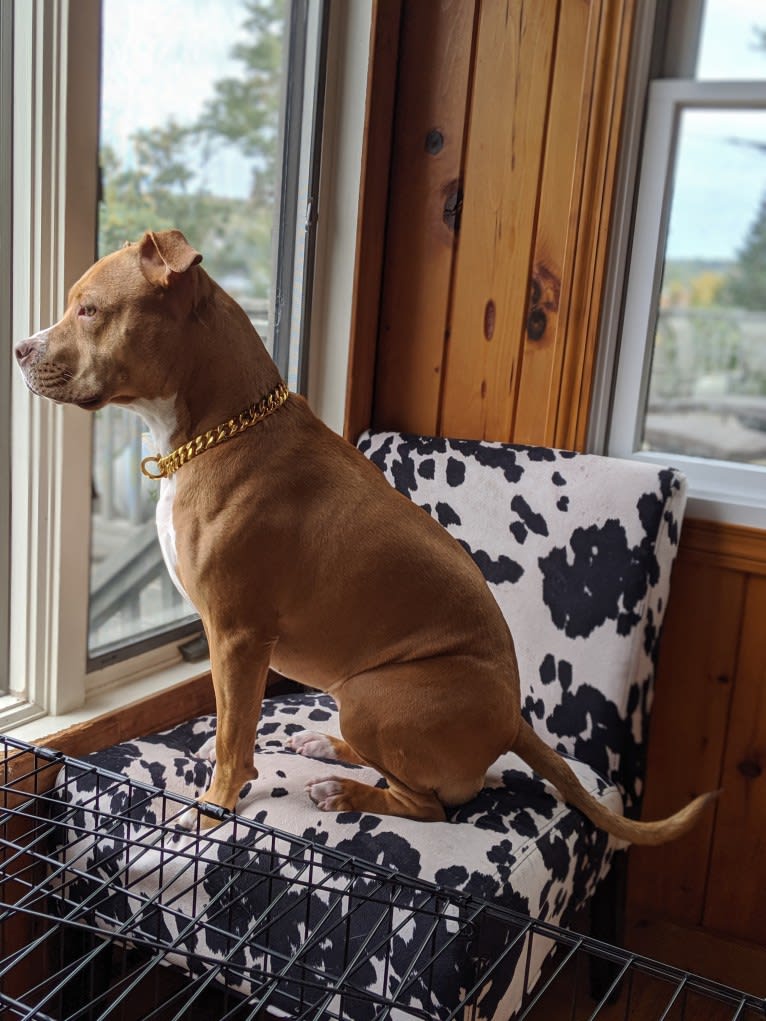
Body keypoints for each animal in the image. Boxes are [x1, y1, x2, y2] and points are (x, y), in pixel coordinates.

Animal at [13, 231, 719, 845]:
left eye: (89, 309)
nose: (20, 348)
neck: (217, 431)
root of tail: (513, 722)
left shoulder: (238, 637)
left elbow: (233, 735)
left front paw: (214, 808)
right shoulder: (230, 640)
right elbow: (232, 727)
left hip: (373, 694)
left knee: (428, 804)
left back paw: (345, 792)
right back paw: (330, 748)